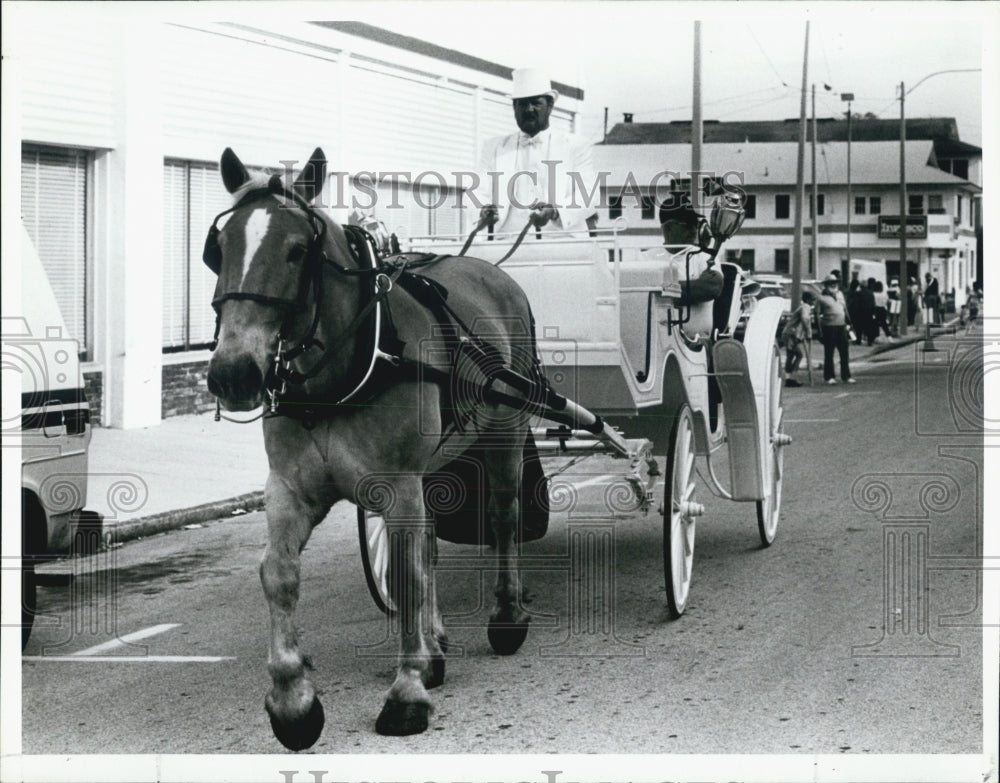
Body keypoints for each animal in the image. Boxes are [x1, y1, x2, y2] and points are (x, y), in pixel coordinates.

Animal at [205, 149, 540, 748]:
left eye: (297, 251)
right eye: (219, 249)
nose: (233, 371)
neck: (336, 375)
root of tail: (495, 272)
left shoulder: (399, 485)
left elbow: (405, 575)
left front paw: (407, 692)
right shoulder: (289, 489)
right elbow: (279, 573)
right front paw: (293, 700)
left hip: (506, 431)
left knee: (503, 516)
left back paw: (506, 615)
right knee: (429, 543)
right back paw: (434, 643)